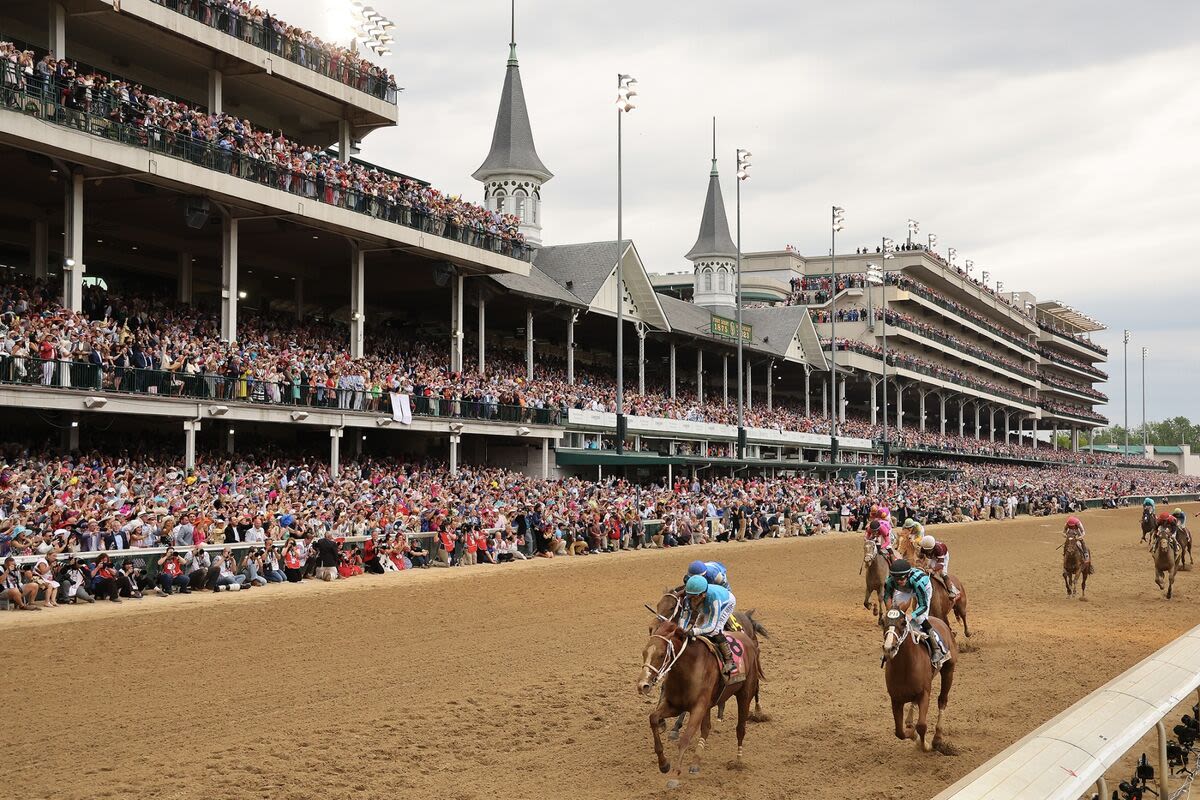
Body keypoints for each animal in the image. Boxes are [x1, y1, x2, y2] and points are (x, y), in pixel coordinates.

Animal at [638, 623, 758, 777]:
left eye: (661, 655)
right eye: (644, 653)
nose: (643, 685)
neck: (688, 670)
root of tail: (747, 639)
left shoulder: (698, 708)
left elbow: (685, 738)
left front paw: (674, 775)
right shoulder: (675, 706)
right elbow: (653, 718)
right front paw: (663, 764)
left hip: (744, 695)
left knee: (740, 729)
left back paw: (738, 761)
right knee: (706, 728)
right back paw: (696, 762)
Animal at [878, 609, 960, 753]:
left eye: (903, 623)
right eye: (883, 621)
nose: (889, 648)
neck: (905, 667)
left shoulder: (924, 694)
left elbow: (921, 726)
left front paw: (926, 745)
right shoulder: (896, 699)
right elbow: (899, 732)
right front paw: (912, 734)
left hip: (948, 671)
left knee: (942, 700)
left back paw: (937, 738)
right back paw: (910, 722)